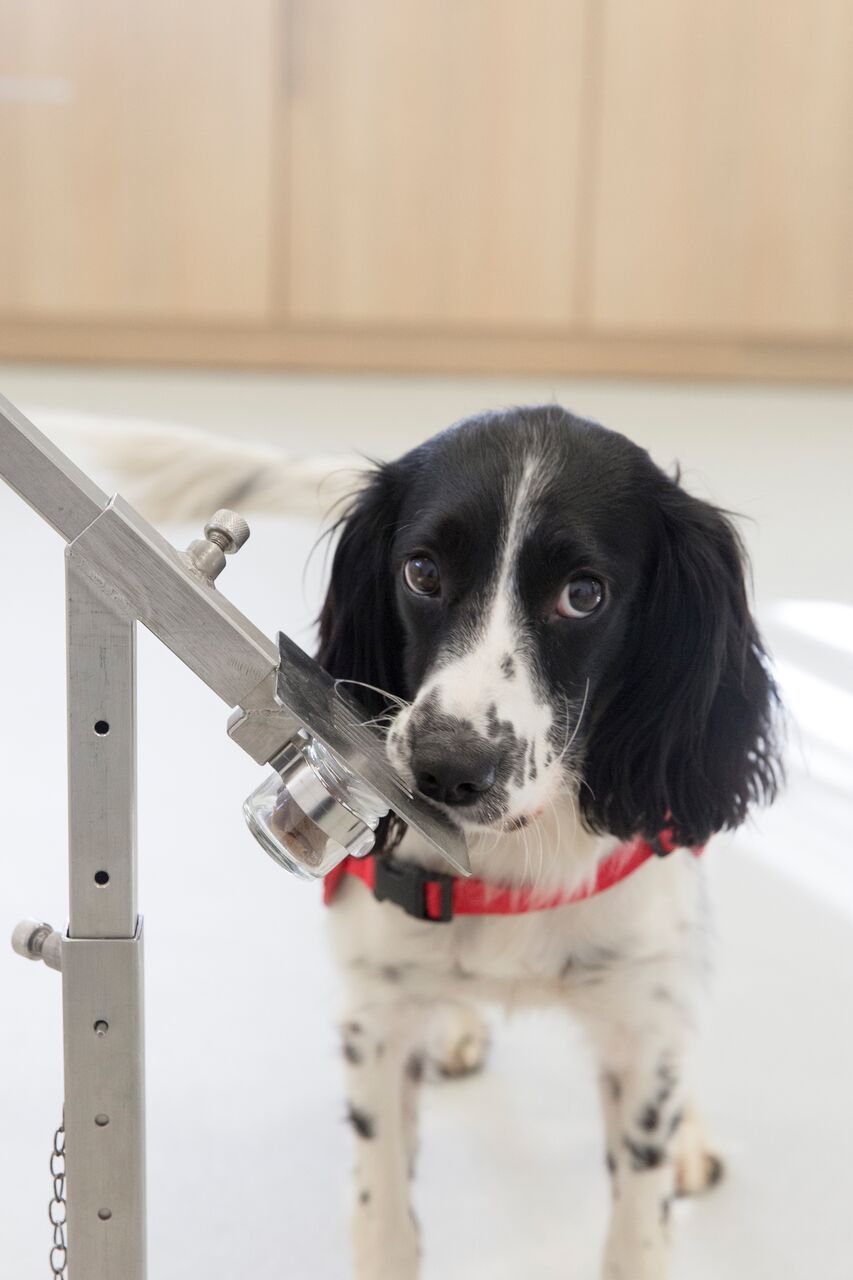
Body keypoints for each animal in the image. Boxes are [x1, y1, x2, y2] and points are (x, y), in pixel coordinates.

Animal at [313, 407, 778, 1280]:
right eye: (421, 571)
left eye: (582, 595)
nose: (445, 768)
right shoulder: (378, 1017)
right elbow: (383, 1218)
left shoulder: (638, 1017)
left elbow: (637, 1227)